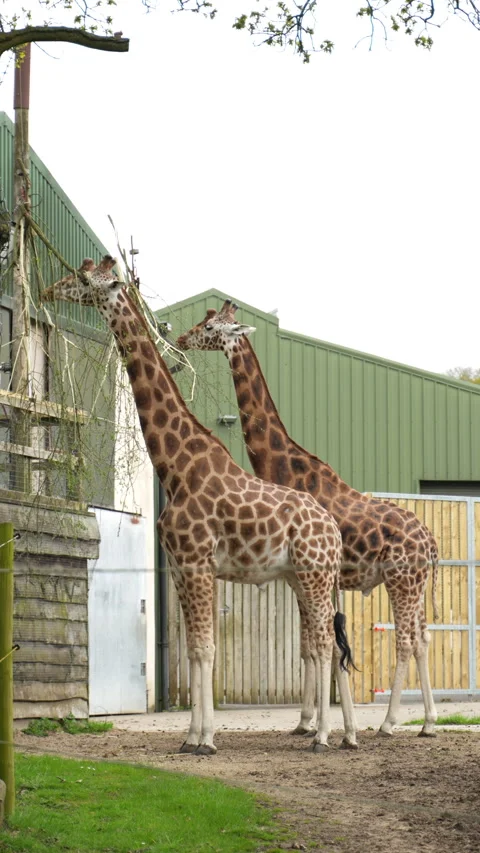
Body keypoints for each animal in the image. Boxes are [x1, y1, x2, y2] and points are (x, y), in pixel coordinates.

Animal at [42, 258, 358, 754]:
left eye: (84, 278)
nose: (48, 290)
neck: (176, 468)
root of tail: (331, 526)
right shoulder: (180, 566)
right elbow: (193, 650)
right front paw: (191, 737)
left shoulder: (195, 562)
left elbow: (207, 648)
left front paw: (207, 739)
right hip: (308, 577)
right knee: (328, 641)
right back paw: (344, 733)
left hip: (313, 574)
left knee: (325, 642)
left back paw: (323, 735)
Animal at [176, 299, 440, 738]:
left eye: (211, 327)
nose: (182, 337)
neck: (284, 466)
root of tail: (433, 543)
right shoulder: (301, 578)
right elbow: (310, 646)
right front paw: (309, 721)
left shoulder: (306, 576)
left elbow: (323, 646)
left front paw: (319, 723)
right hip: (414, 585)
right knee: (422, 638)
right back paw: (429, 723)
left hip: (401, 581)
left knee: (404, 640)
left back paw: (388, 724)